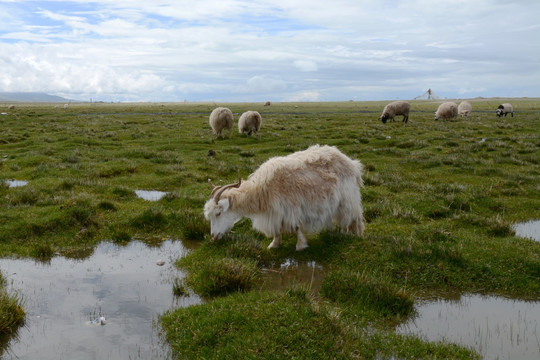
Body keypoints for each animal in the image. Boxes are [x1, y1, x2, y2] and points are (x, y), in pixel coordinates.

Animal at [205, 145, 364, 252]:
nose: (213, 236)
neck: (265, 188)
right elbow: (277, 229)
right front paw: (274, 245)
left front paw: (300, 246)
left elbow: (297, 227)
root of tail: (352, 164)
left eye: (218, 213)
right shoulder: (275, 212)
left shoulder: (293, 208)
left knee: (353, 217)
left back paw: (352, 234)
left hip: (348, 199)